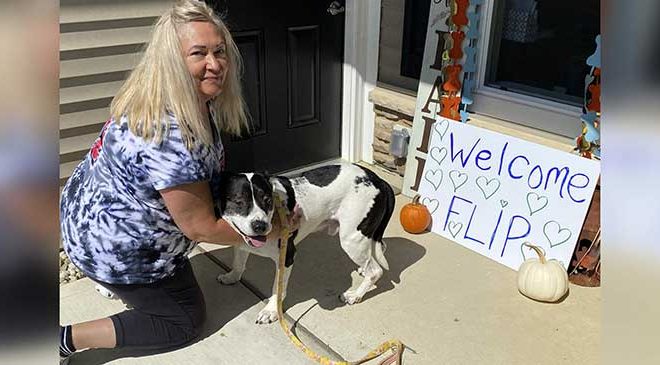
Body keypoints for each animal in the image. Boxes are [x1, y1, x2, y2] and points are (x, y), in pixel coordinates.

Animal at [214, 164, 394, 322]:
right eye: (239, 202)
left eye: (267, 200)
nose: (260, 226)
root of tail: (379, 180)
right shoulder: (241, 244)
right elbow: (238, 263)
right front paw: (232, 277)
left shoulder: (286, 257)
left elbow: (277, 289)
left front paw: (271, 311)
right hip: (364, 237)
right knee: (378, 251)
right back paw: (363, 270)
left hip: (351, 240)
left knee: (376, 271)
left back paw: (356, 295)